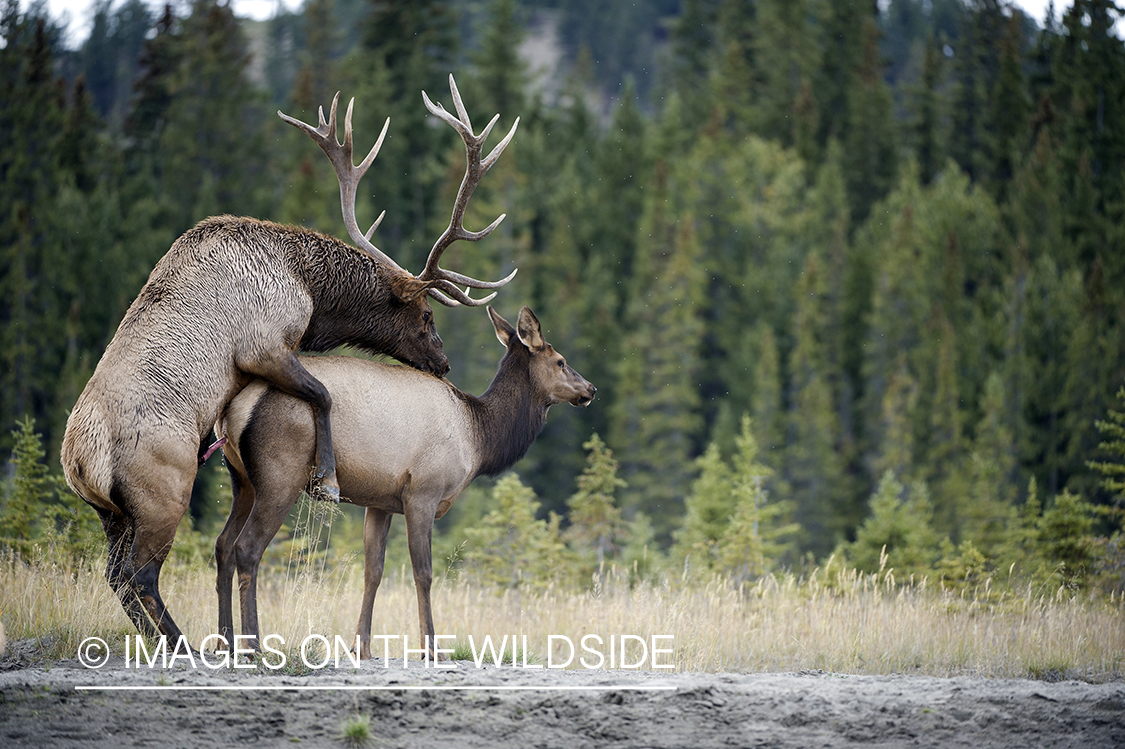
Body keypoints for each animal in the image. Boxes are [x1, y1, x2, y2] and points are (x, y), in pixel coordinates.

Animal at [61, 74, 517, 643]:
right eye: (426, 315)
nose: (445, 364)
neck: (308, 285)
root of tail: (80, 464)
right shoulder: (265, 343)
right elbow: (320, 395)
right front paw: (326, 477)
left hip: (111, 514)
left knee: (116, 573)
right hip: (164, 491)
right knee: (139, 573)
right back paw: (186, 643)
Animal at [212, 305, 598, 656]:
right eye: (560, 361)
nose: (591, 388)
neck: (478, 437)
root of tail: (235, 409)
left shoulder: (380, 502)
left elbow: (373, 571)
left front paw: (361, 647)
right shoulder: (423, 492)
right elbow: (423, 572)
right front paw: (431, 647)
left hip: (242, 480)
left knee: (223, 545)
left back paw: (224, 642)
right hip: (281, 474)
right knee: (247, 548)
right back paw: (253, 644)